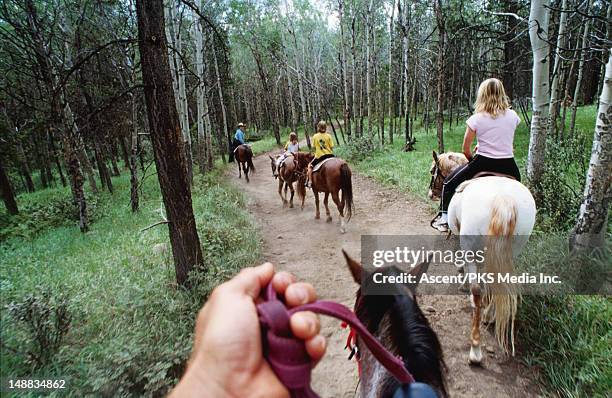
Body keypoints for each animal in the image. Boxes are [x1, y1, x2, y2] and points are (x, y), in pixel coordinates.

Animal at [430, 152, 536, 364]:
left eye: (433, 171)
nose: (430, 193)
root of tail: (503, 199)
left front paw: (462, 278)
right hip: (511, 248)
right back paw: (489, 315)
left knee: (477, 289)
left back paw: (476, 349)